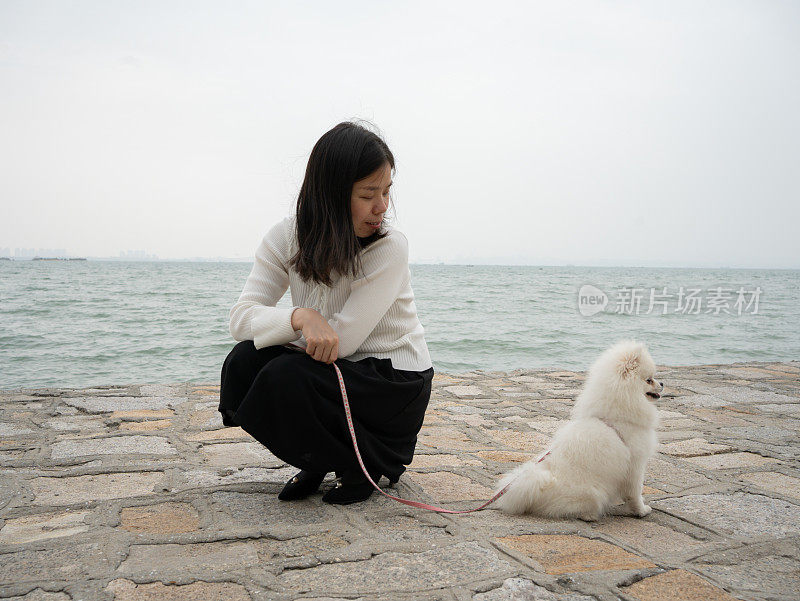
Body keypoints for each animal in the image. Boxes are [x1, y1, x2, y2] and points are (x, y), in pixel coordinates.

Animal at [494, 338, 664, 520]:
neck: (616, 414)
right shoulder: (635, 464)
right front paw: (641, 510)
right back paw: (591, 515)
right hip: (592, 493)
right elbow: (635, 493)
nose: (662, 383)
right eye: (649, 380)